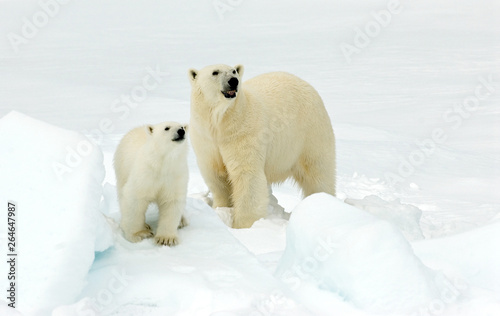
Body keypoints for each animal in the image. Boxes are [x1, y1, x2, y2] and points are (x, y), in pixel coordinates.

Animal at [188, 63, 336, 227]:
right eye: (215, 72)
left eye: (233, 71)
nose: (233, 81)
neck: (221, 123)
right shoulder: (205, 140)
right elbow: (217, 177)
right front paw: (220, 209)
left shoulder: (243, 134)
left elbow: (247, 176)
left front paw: (244, 225)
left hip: (309, 132)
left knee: (318, 171)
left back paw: (321, 200)